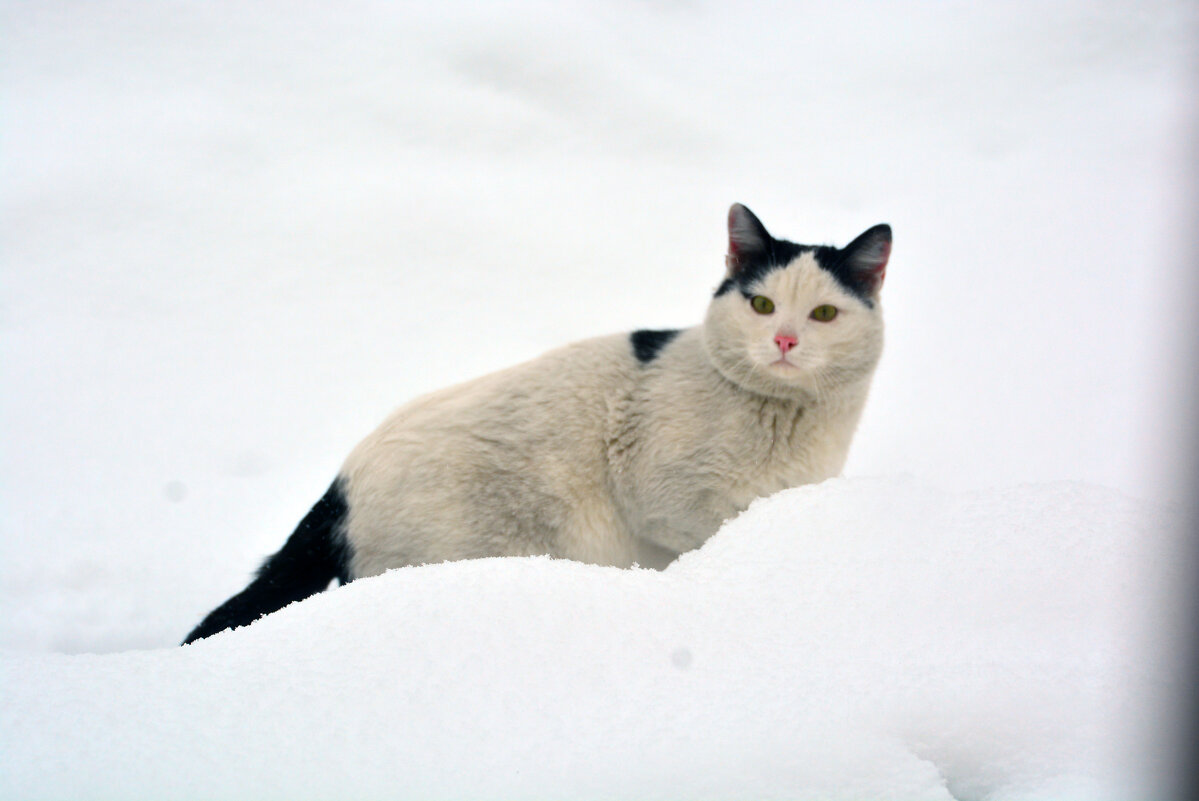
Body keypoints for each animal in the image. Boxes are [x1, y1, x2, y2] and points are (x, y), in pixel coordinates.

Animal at [179, 205, 892, 642]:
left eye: (824, 315)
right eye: (762, 305)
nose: (785, 341)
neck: (785, 419)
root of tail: (341, 481)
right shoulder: (666, 505)